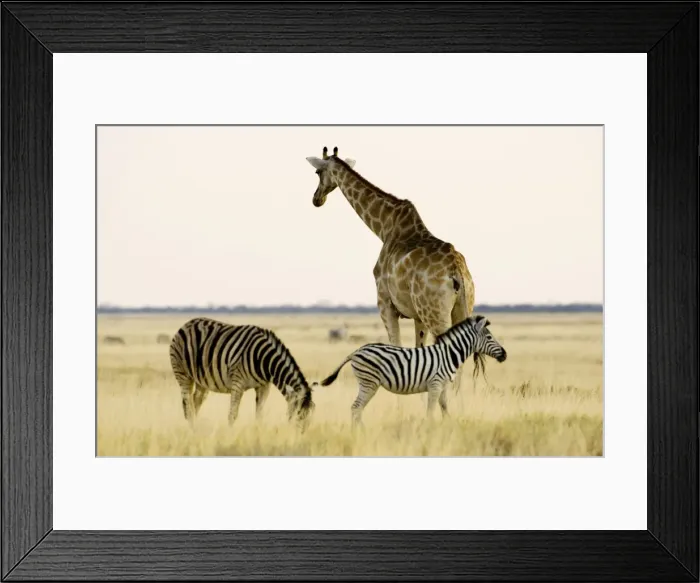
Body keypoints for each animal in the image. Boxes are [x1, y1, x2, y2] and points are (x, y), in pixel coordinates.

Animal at [169, 317, 315, 430]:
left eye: (312, 413)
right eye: (298, 413)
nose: (301, 434)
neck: (264, 360)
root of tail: (186, 324)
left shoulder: (264, 386)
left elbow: (259, 414)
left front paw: (258, 433)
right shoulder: (237, 383)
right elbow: (232, 414)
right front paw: (230, 435)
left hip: (202, 381)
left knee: (195, 402)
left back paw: (196, 428)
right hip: (183, 373)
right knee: (188, 406)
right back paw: (192, 430)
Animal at [306, 146, 476, 393]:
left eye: (318, 172)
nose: (317, 199)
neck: (384, 227)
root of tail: (457, 272)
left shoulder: (385, 303)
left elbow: (397, 349)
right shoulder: (417, 316)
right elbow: (419, 355)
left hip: (436, 314)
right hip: (462, 308)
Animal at [318, 315, 506, 426]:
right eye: (489, 337)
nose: (504, 355)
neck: (448, 355)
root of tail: (356, 351)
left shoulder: (442, 385)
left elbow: (444, 406)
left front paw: (447, 425)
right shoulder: (435, 384)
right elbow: (430, 410)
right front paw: (430, 429)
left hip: (367, 383)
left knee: (356, 408)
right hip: (369, 382)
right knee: (356, 408)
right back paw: (360, 433)